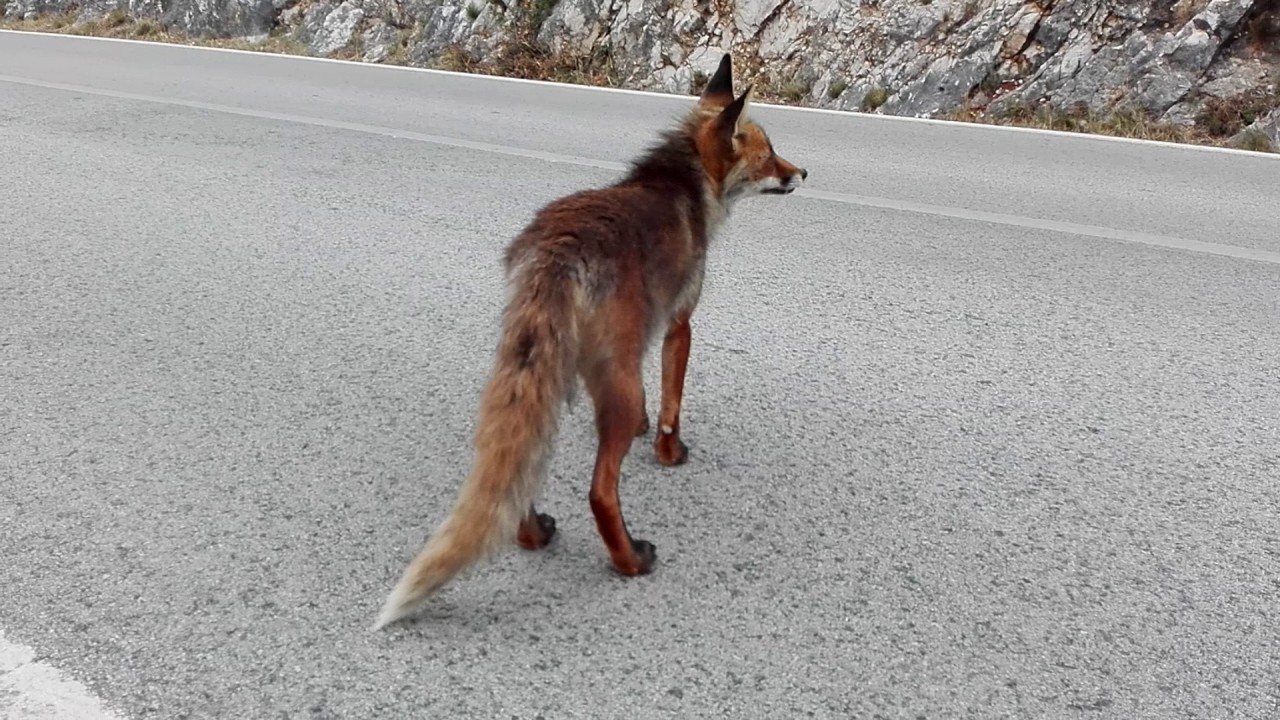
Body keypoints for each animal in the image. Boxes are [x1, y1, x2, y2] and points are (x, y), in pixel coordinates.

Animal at [373, 53, 807, 630]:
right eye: (770, 153)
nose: (802, 173)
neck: (683, 188)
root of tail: (558, 249)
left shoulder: (635, 346)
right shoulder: (679, 324)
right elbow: (670, 406)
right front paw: (669, 451)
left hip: (540, 372)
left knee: (519, 469)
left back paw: (533, 533)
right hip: (612, 391)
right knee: (600, 491)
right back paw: (630, 560)